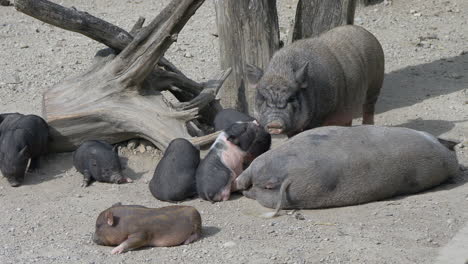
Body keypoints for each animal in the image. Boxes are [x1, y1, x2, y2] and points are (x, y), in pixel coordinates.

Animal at [245, 24, 384, 136]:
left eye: (292, 98)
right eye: (262, 98)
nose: (275, 123)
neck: (281, 72)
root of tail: (368, 33)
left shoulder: (320, 116)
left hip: (375, 83)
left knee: (369, 108)